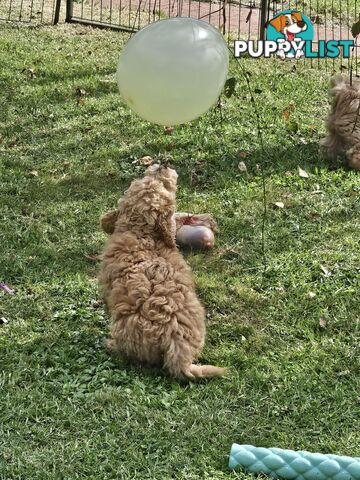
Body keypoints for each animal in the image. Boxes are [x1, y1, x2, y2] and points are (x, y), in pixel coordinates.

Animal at [98, 167, 225, 380]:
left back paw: (110, 344)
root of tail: (178, 351)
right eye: (146, 177)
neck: (141, 232)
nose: (162, 166)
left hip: (125, 329)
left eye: (162, 185)